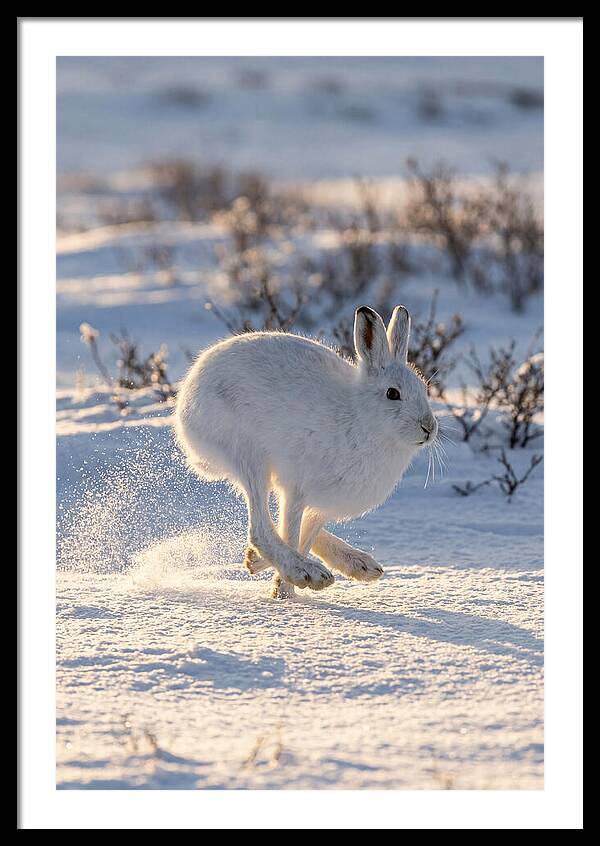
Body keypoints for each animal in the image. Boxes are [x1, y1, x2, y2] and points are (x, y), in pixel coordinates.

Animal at [175, 305, 438, 598]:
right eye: (393, 393)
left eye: (424, 388)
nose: (429, 427)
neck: (362, 419)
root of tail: (186, 399)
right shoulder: (298, 489)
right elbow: (291, 533)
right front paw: (286, 592)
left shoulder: (322, 504)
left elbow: (305, 535)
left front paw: (276, 582)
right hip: (248, 455)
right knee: (261, 528)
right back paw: (305, 571)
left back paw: (357, 565)